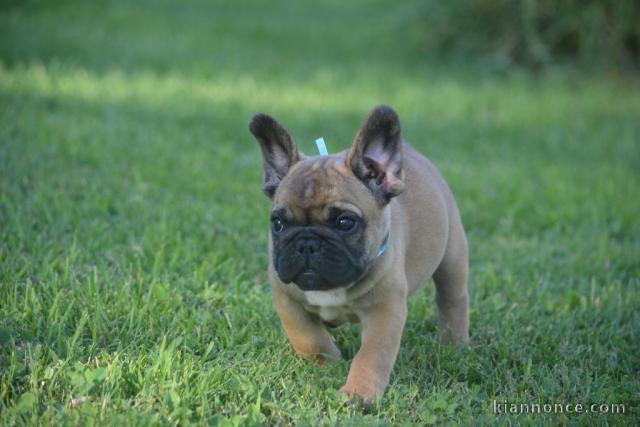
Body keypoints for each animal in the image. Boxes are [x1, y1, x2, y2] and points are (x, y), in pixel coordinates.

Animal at [248, 105, 468, 402]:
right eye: (278, 223)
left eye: (345, 222)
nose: (307, 243)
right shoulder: (287, 299)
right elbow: (307, 337)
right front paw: (328, 364)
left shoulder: (385, 311)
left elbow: (372, 356)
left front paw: (358, 393)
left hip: (452, 255)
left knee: (452, 299)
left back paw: (455, 345)